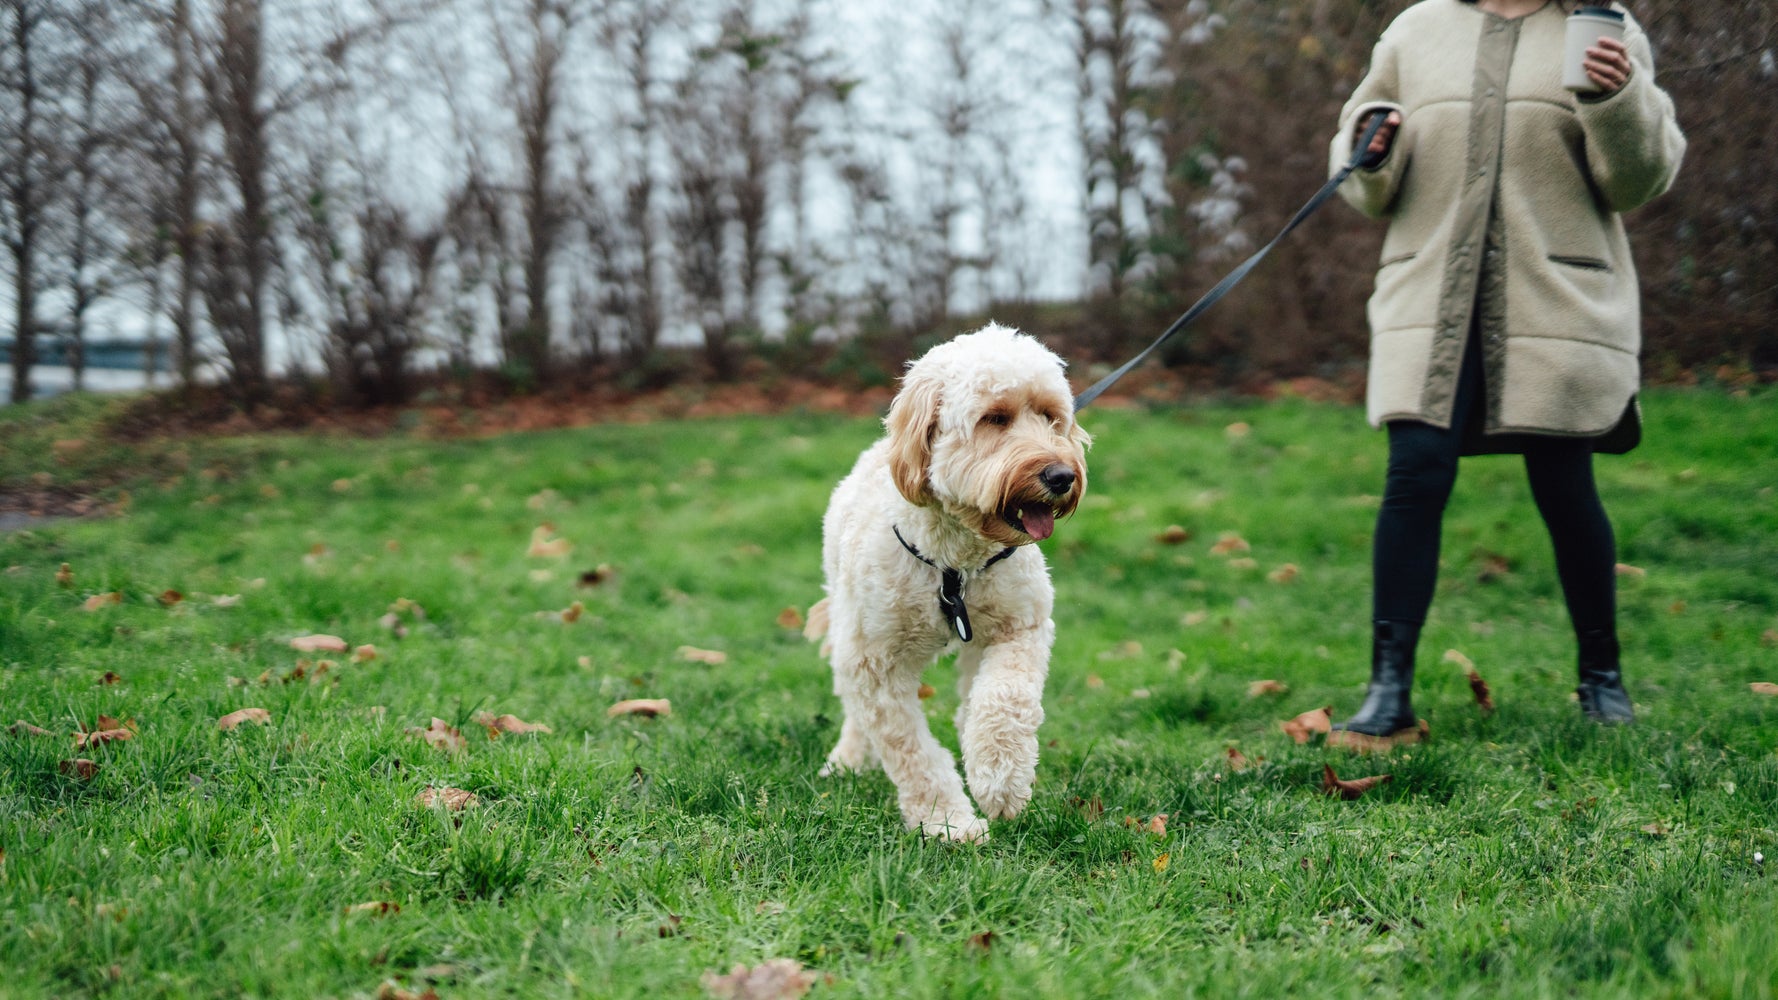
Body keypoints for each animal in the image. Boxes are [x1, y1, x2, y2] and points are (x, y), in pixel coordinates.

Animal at [803, 323, 1081, 836]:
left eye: (1051, 416)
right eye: (994, 418)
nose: (1061, 475)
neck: (955, 565)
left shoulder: (1021, 626)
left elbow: (1004, 699)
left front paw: (1000, 779)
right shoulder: (873, 663)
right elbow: (911, 751)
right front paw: (948, 822)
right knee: (853, 707)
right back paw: (848, 760)